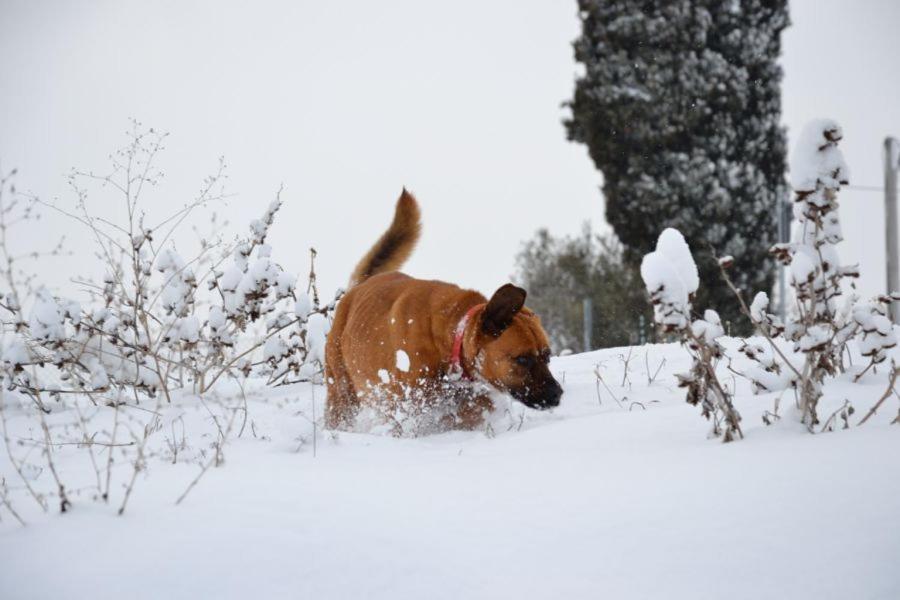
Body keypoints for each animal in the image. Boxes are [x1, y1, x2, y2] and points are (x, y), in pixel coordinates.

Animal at [324, 190, 564, 428]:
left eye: (547, 356)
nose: (557, 394)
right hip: (342, 394)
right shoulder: (409, 409)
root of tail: (359, 287)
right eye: (522, 359)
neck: (449, 338)